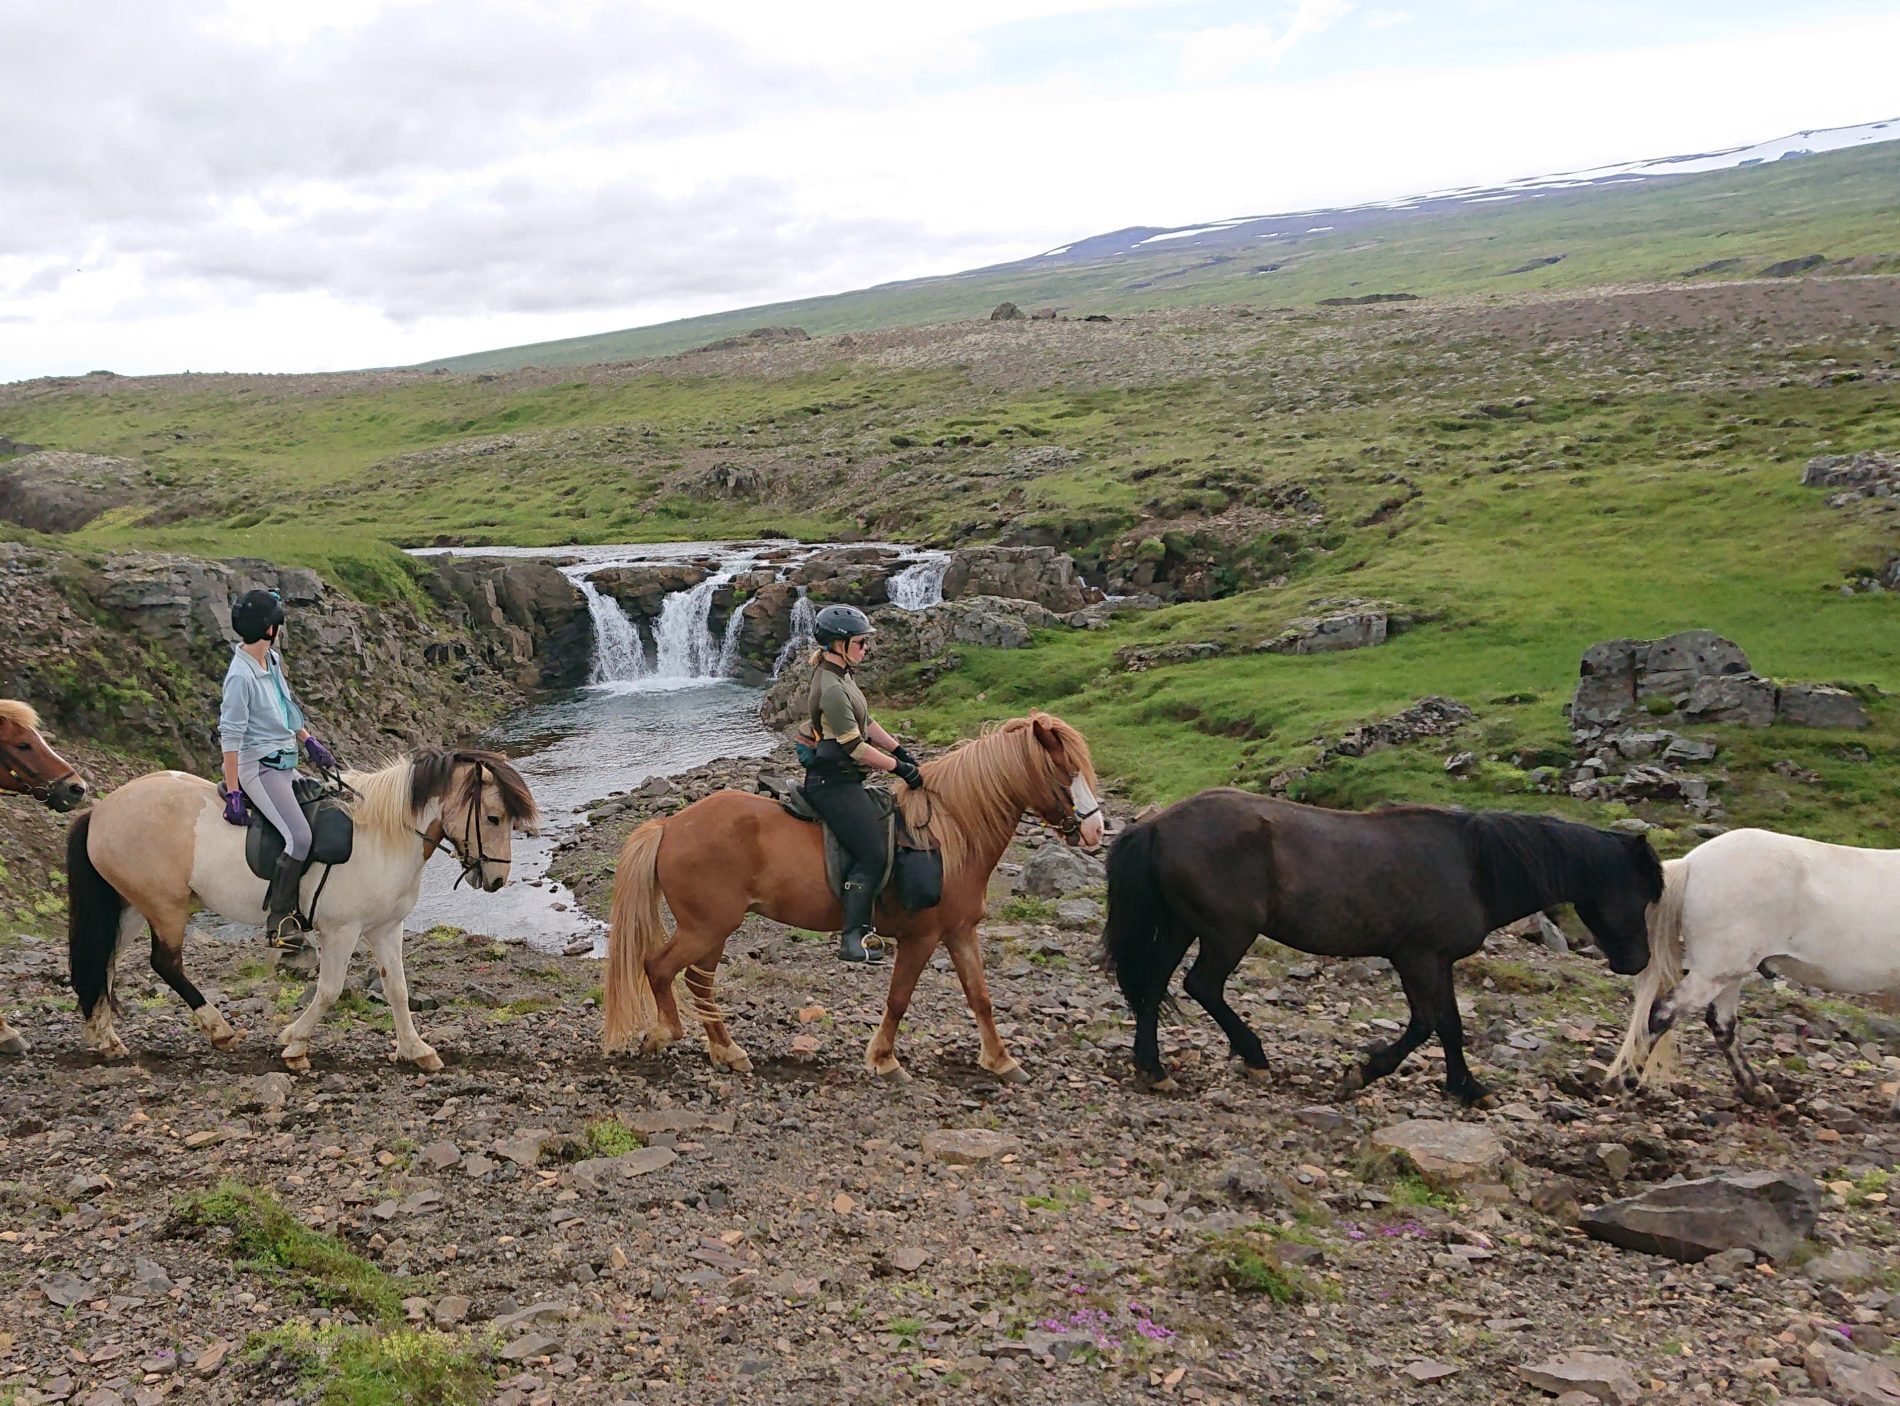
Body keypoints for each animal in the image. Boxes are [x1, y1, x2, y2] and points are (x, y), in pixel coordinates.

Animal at [66, 752, 539, 1071]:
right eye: (493, 818)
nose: (497, 879)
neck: (383, 834)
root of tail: (101, 810)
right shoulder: (342, 931)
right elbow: (329, 990)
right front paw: (295, 1044)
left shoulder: (386, 929)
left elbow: (397, 990)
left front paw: (415, 1049)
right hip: (165, 908)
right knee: (164, 963)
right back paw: (219, 1030)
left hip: (130, 906)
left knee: (106, 963)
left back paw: (105, 1038)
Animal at [600, 706, 1109, 1079]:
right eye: (1064, 774)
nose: (1096, 831)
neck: (949, 833)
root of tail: (670, 826)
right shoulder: (921, 938)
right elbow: (899, 999)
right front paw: (884, 1060)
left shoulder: (960, 931)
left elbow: (979, 995)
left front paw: (1001, 1060)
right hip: (705, 927)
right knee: (659, 968)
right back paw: (666, 1034)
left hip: (713, 929)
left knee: (698, 981)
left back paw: (728, 1052)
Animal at [1102, 790, 1664, 1102]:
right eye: (1641, 894)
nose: (1636, 961)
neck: (1474, 867)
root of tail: (1158, 825)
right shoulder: (1415, 957)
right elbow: (1425, 1024)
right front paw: (1364, 1072)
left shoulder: (1439, 961)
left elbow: (1450, 1025)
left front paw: (1466, 1087)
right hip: (1227, 932)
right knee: (1203, 986)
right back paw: (1253, 1054)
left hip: (1182, 926)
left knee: (1153, 987)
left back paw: (1153, 1069)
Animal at [1611, 828, 1900, 1117]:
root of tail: (1692, 863)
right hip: (1714, 971)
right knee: (1663, 1013)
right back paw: (1626, 1084)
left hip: (1727, 973)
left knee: (1721, 1024)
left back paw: (1756, 1091)